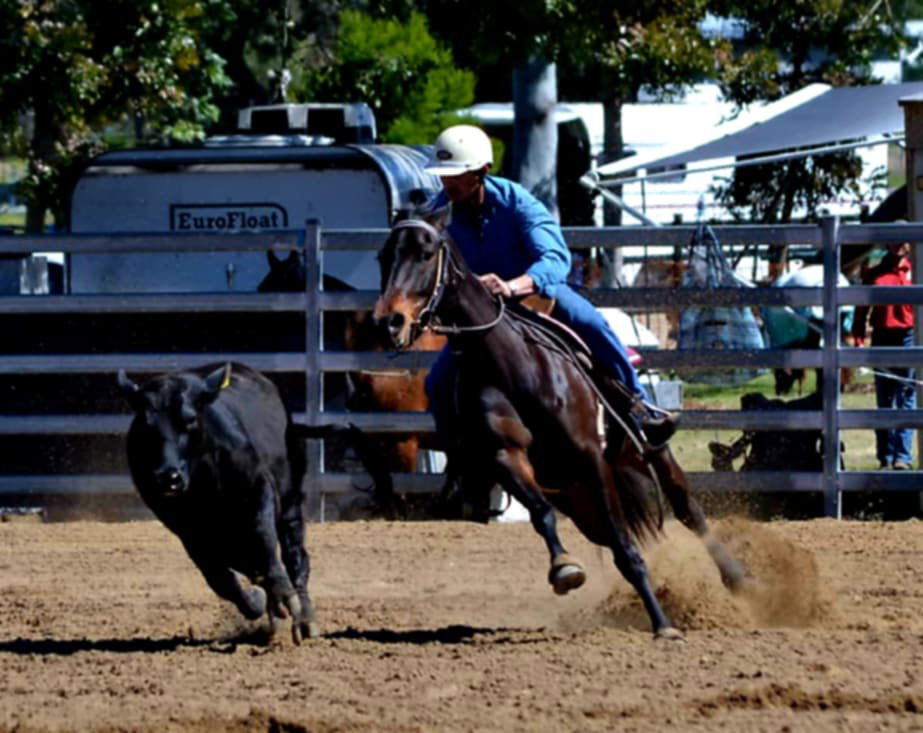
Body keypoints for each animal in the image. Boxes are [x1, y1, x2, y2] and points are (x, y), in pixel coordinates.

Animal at [373, 208, 747, 639]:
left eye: (426, 253)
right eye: (383, 256)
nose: (389, 321)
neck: (514, 366)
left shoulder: (590, 458)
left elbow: (626, 548)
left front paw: (664, 626)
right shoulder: (507, 456)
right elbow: (542, 514)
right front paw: (564, 569)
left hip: (649, 455)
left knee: (688, 510)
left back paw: (737, 578)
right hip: (576, 496)